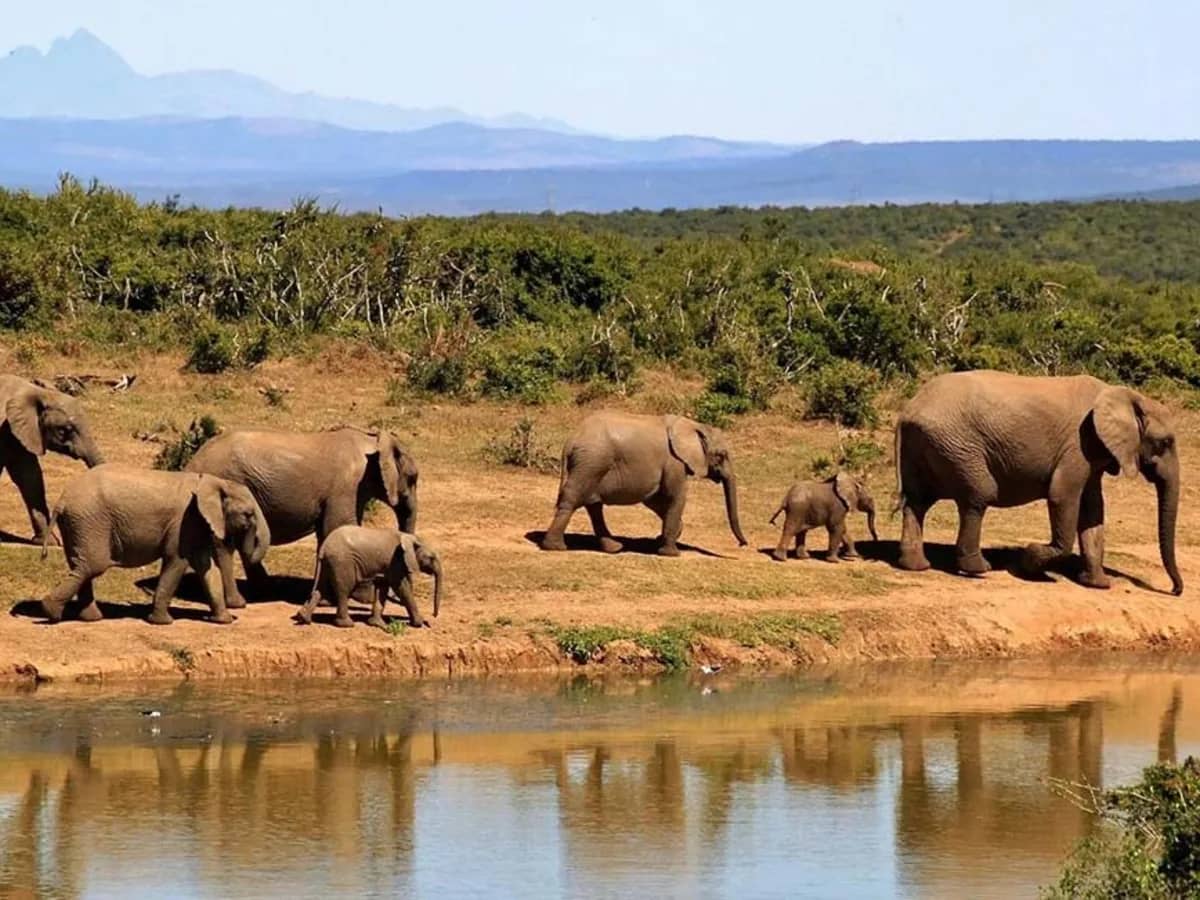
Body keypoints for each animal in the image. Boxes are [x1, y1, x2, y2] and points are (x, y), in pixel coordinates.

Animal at [40, 465, 271, 624]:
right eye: (248, 515)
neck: (213, 482)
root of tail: (62, 501)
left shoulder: (195, 524)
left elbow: (207, 568)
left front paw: (224, 621)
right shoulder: (184, 521)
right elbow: (177, 562)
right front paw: (163, 622)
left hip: (79, 525)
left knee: (82, 566)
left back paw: (90, 618)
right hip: (90, 522)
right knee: (92, 566)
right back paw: (51, 612)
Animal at [186, 426, 418, 600]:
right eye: (413, 477)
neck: (372, 440)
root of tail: (192, 462)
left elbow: (328, 532)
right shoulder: (347, 486)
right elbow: (339, 526)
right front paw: (363, 598)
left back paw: (266, 589)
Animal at [295, 526, 442, 629]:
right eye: (431, 558)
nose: (433, 616)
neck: (410, 538)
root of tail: (324, 546)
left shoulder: (388, 566)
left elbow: (382, 587)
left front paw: (377, 624)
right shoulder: (396, 561)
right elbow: (401, 588)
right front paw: (419, 623)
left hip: (329, 562)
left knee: (320, 588)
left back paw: (303, 618)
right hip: (342, 562)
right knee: (344, 589)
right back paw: (347, 625)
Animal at [540, 412, 748, 556]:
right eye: (721, 455)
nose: (743, 544)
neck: (693, 425)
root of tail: (570, 441)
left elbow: (654, 499)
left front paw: (661, 539)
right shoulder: (674, 462)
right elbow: (676, 496)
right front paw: (671, 553)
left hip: (592, 465)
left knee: (593, 505)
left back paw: (614, 548)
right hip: (591, 462)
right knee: (573, 500)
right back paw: (556, 547)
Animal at [895, 370, 1183, 594]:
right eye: (1165, 442)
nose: (1174, 590)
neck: (1125, 395)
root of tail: (908, 411)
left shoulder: (1093, 452)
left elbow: (1093, 511)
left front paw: (1097, 584)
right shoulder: (1078, 445)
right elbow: (1062, 496)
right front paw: (1028, 561)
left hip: (926, 445)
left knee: (917, 501)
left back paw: (916, 566)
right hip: (957, 446)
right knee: (978, 496)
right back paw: (979, 569)